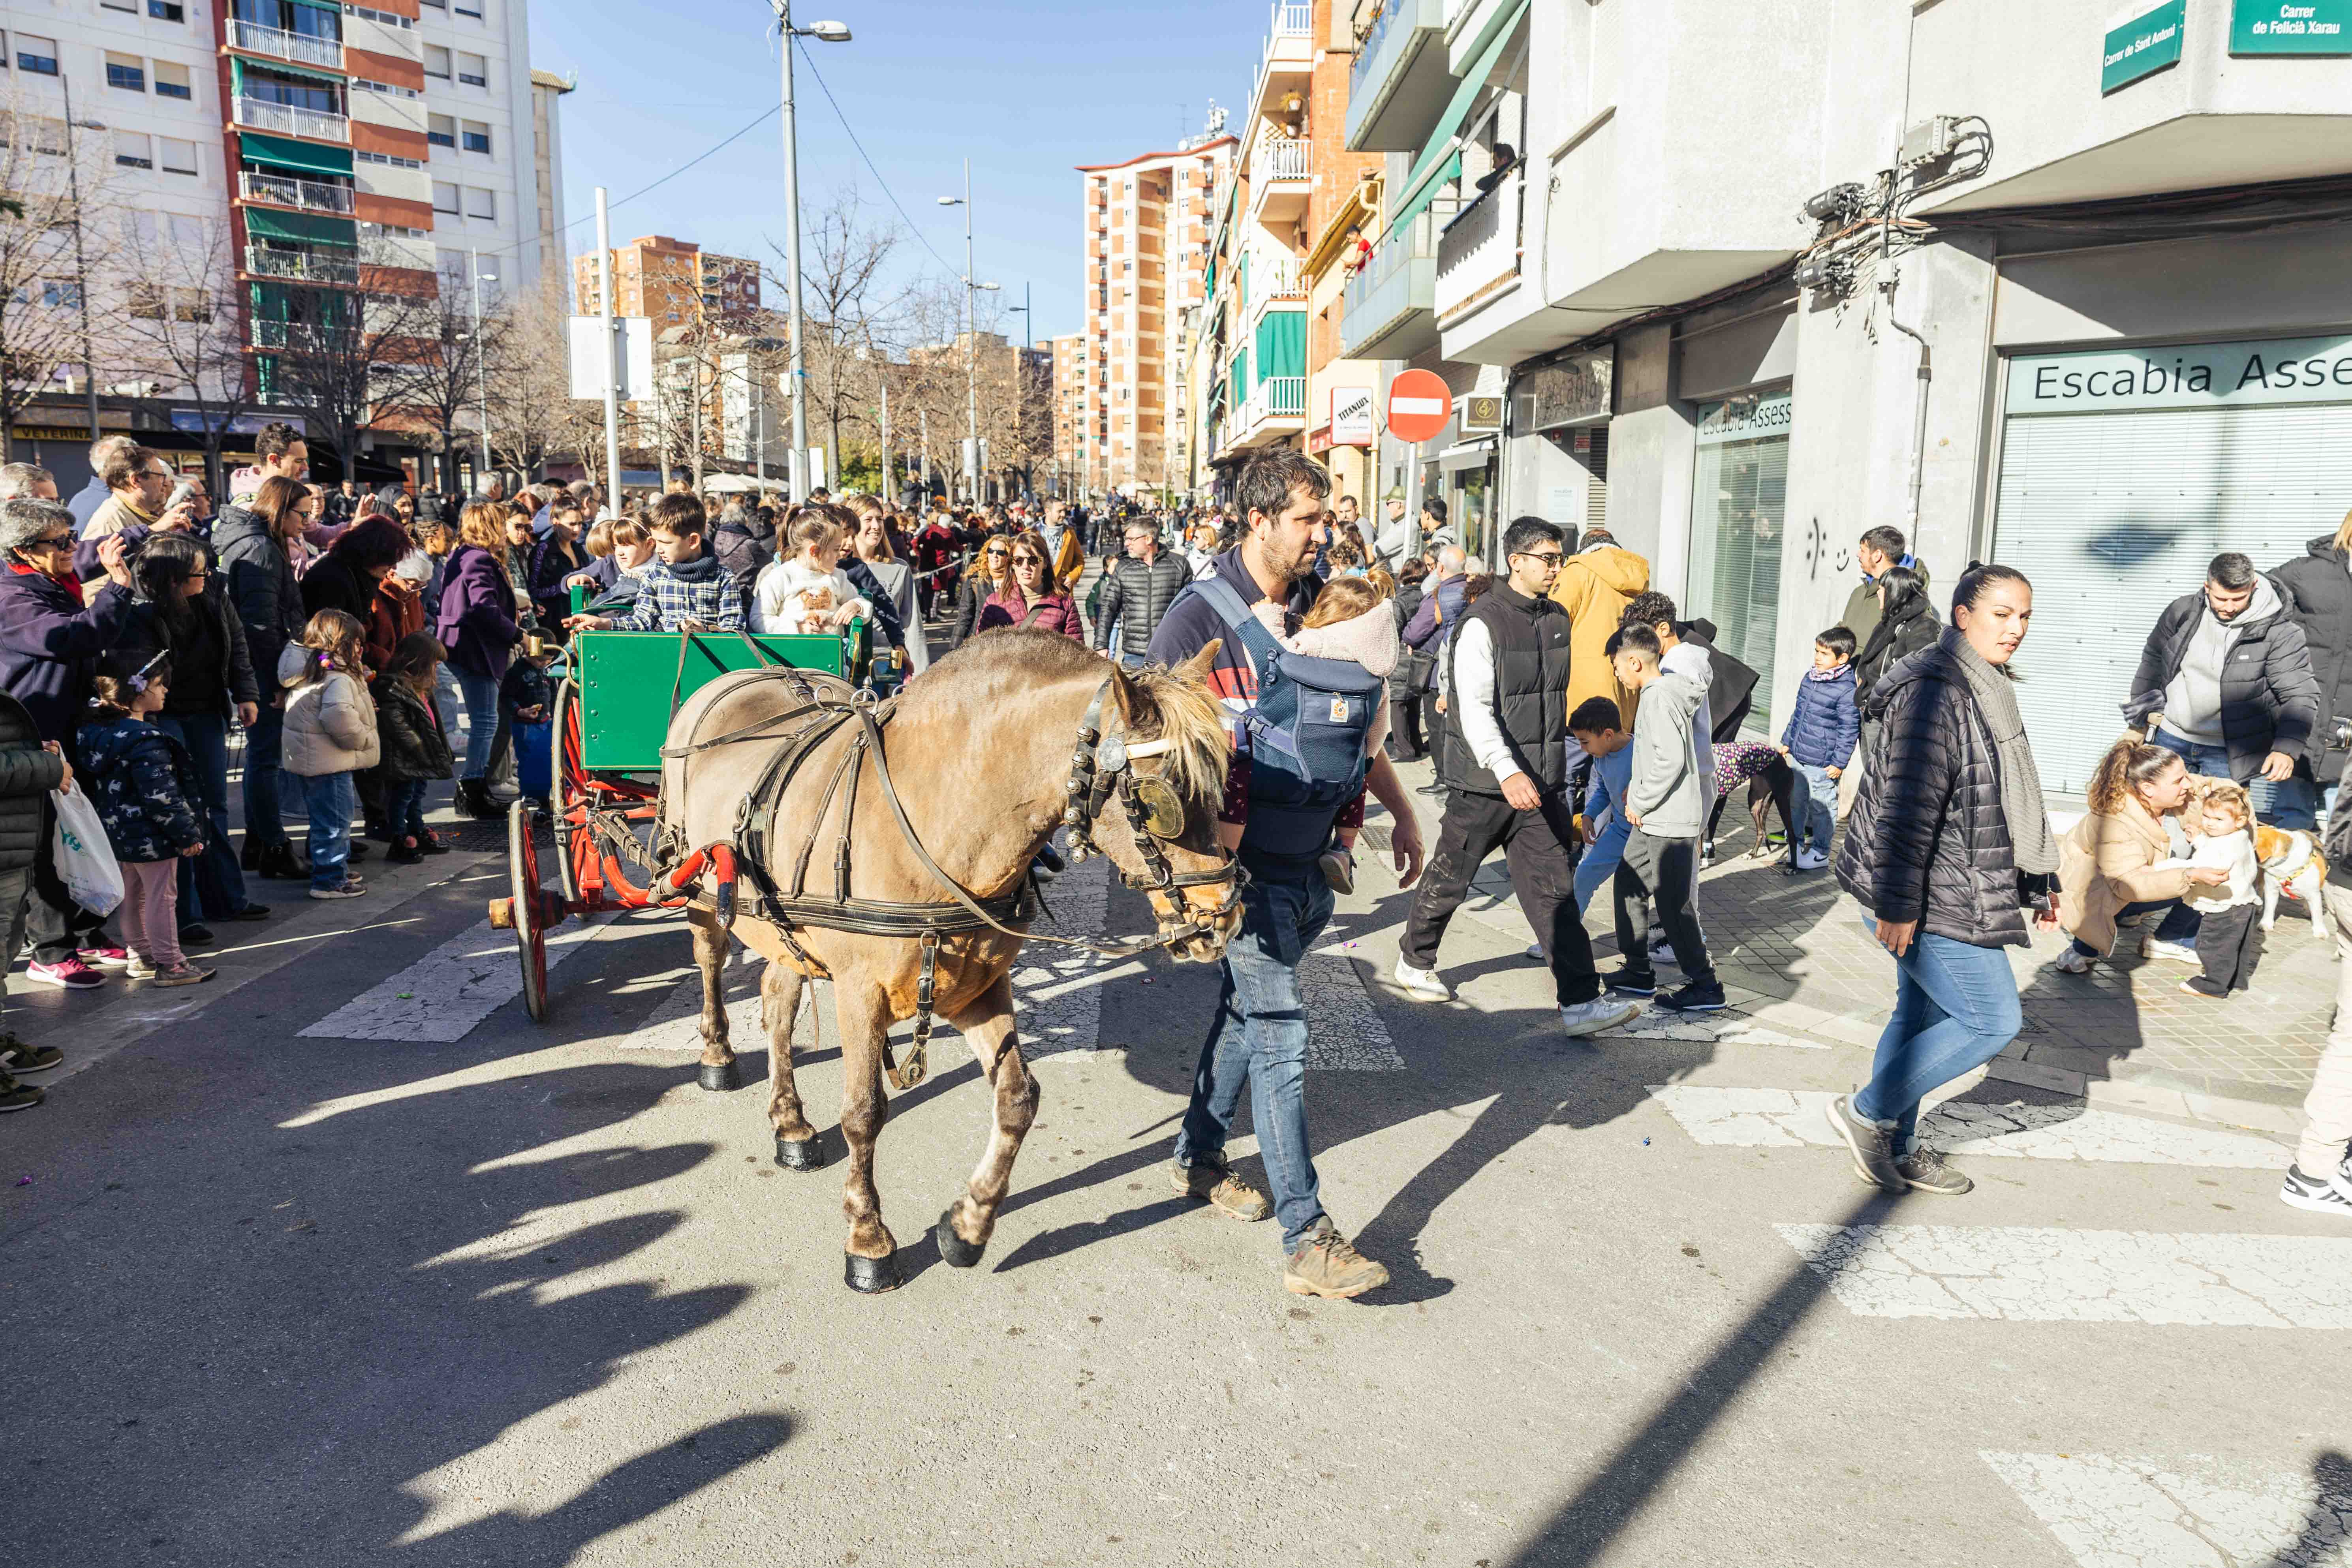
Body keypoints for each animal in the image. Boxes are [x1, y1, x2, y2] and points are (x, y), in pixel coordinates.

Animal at [658, 630, 1242, 1298]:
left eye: (1224, 780)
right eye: (1160, 797)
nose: (1223, 917)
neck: (934, 816)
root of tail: (735, 675)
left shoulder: (977, 987)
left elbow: (1017, 1097)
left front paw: (969, 1224)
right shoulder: (859, 992)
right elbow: (864, 1113)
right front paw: (868, 1237)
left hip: (784, 928)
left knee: (778, 998)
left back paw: (791, 1122)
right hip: (699, 888)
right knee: (711, 960)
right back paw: (717, 1055)